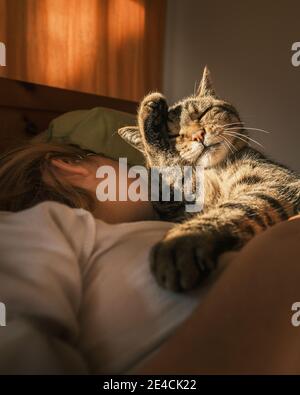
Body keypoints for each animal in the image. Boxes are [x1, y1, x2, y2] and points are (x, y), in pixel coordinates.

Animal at [118, 66, 298, 292]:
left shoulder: (273, 185)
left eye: (202, 114)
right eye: (173, 135)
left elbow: (229, 210)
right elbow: (164, 167)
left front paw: (182, 242)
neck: (216, 169)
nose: (198, 135)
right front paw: (149, 117)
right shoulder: (179, 205)